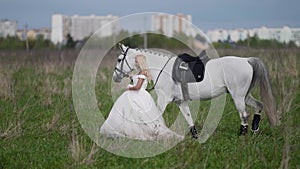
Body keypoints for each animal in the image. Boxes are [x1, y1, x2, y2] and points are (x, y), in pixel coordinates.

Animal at [112, 44, 276, 138]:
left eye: (119, 59)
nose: (115, 77)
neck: (161, 68)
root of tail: (246, 60)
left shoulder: (163, 99)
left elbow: (156, 116)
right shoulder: (181, 102)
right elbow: (189, 118)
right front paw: (195, 136)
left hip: (238, 97)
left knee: (244, 114)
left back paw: (242, 134)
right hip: (245, 95)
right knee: (259, 106)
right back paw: (255, 130)